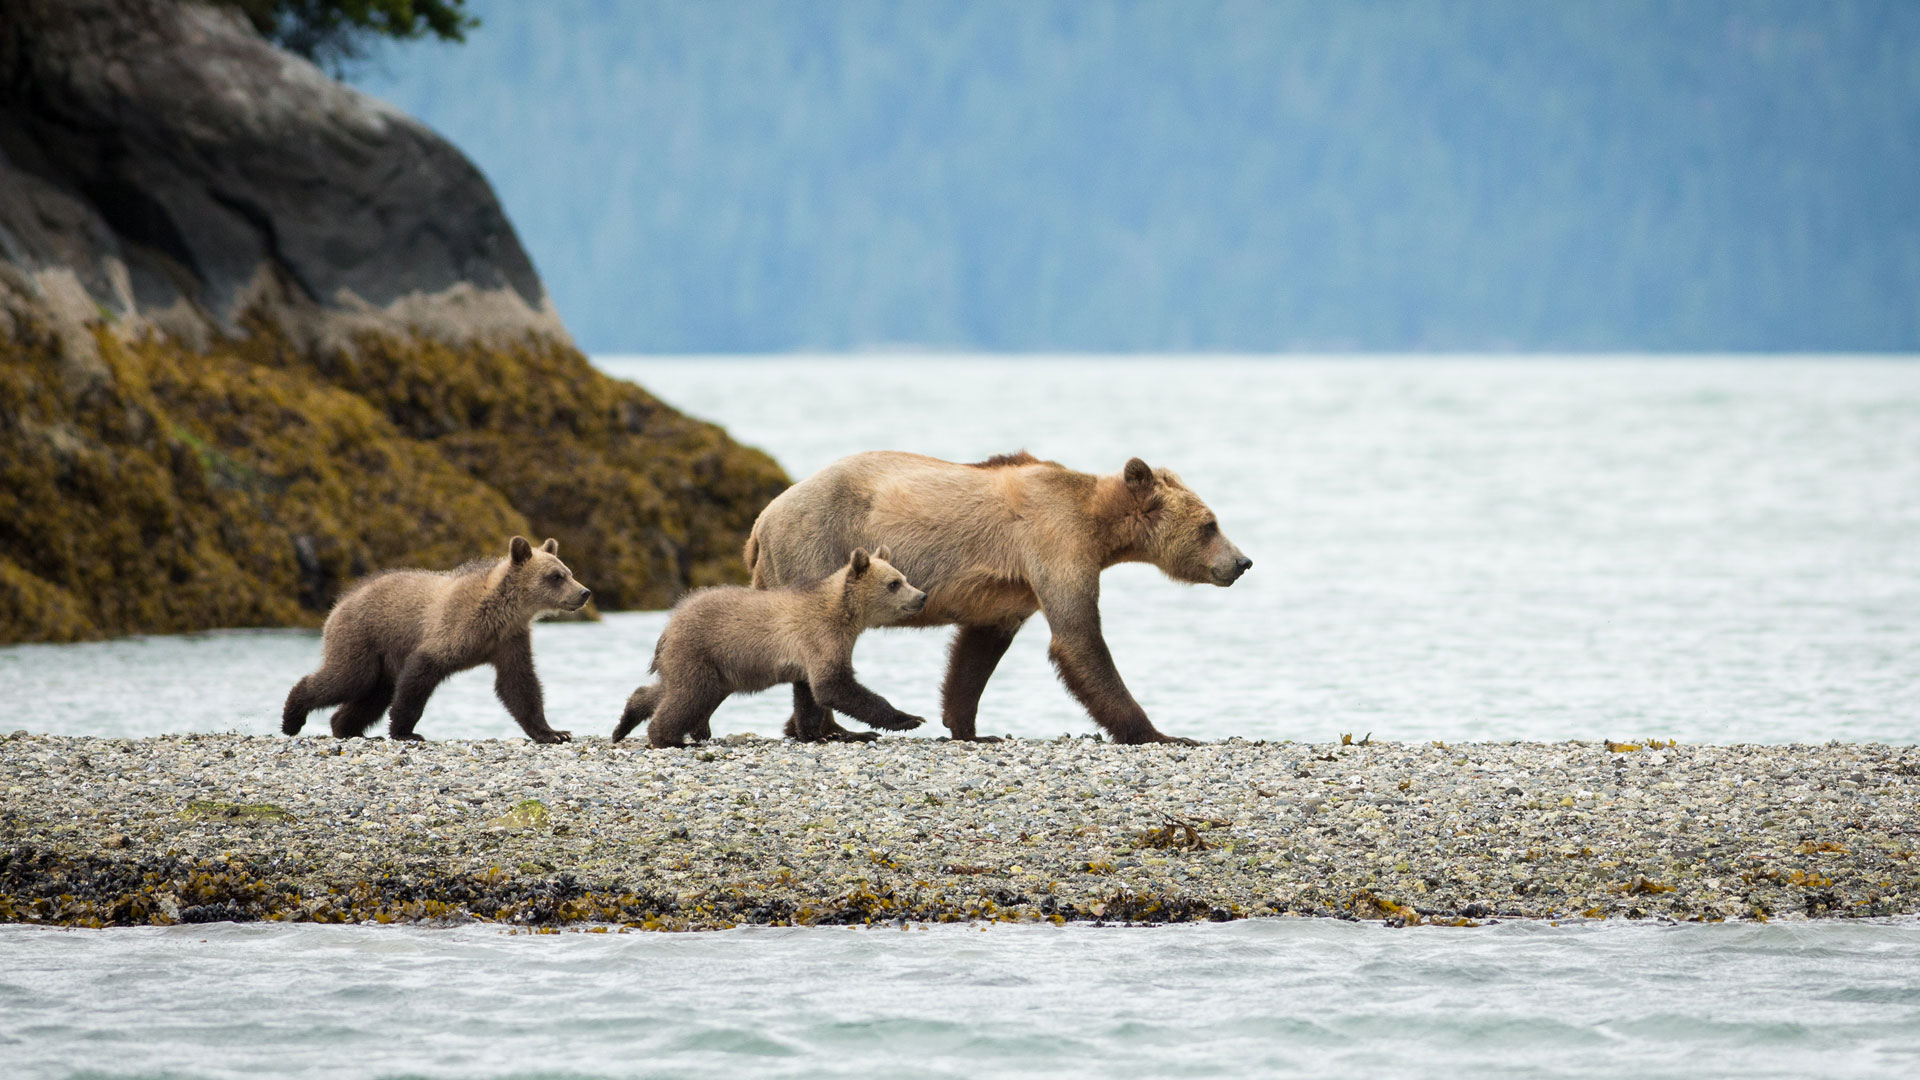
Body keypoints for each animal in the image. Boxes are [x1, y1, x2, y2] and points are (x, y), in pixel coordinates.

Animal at [281, 536, 591, 743]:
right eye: (556, 576)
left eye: (569, 572)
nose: (584, 592)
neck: (501, 613)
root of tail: (340, 602)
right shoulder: (455, 629)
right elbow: (421, 673)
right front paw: (406, 731)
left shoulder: (509, 640)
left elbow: (519, 684)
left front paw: (554, 732)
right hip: (362, 638)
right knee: (347, 678)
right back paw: (292, 718)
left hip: (382, 660)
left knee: (373, 694)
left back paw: (347, 728)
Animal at [612, 546, 928, 748]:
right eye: (893, 583)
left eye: (904, 578)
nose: (922, 596)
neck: (844, 614)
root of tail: (670, 623)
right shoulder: (819, 637)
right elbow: (834, 686)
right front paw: (908, 719)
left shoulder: (811, 653)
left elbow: (809, 695)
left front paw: (819, 734)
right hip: (700, 649)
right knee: (688, 695)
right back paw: (669, 739)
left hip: (714, 667)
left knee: (672, 689)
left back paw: (624, 723)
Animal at [744, 452, 1251, 745]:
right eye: (1210, 524)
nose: (1242, 562)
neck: (1100, 527)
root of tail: (761, 519)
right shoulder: (1055, 544)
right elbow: (1079, 639)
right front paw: (1160, 733)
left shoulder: (1014, 588)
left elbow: (978, 652)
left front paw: (968, 728)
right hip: (819, 545)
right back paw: (829, 729)